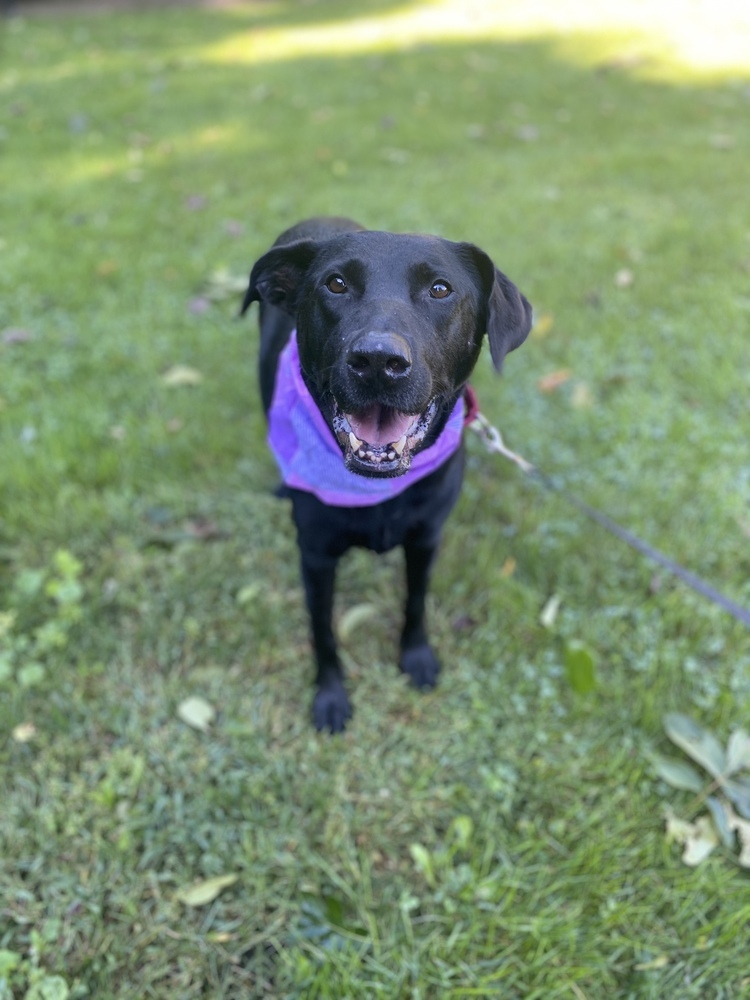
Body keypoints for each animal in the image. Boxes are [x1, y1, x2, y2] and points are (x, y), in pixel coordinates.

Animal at [244, 217, 532, 736]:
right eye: (336, 283)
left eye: (440, 289)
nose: (378, 361)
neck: (376, 486)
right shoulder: (315, 557)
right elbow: (322, 631)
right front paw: (330, 695)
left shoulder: (426, 538)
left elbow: (415, 601)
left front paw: (415, 657)